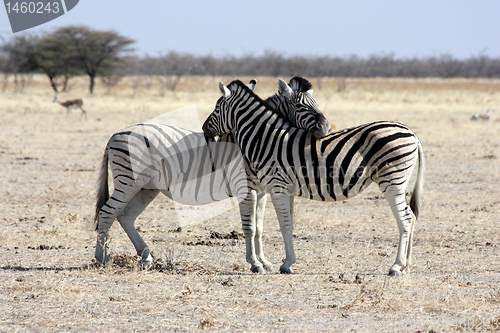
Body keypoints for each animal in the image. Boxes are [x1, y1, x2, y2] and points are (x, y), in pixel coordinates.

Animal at [94, 76, 332, 268]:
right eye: (299, 105)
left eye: (318, 104)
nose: (326, 128)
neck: (258, 139)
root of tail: (116, 133)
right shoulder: (248, 188)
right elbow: (250, 227)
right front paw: (255, 263)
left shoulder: (263, 191)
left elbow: (259, 227)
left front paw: (265, 261)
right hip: (128, 181)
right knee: (107, 212)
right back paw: (103, 258)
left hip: (146, 187)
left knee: (125, 216)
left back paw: (146, 257)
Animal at [202, 80, 426, 274]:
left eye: (216, 106)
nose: (204, 129)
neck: (265, 139)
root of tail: (413, 134)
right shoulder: (282, 189)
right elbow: (283, 225)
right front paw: (283, 262)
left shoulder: (274, 187)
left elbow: (278, 225)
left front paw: (281, 264)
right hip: (398, 181)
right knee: (411, 216)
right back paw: (406, 265)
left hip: (392, 181)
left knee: (405, 219)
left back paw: (396, 266)